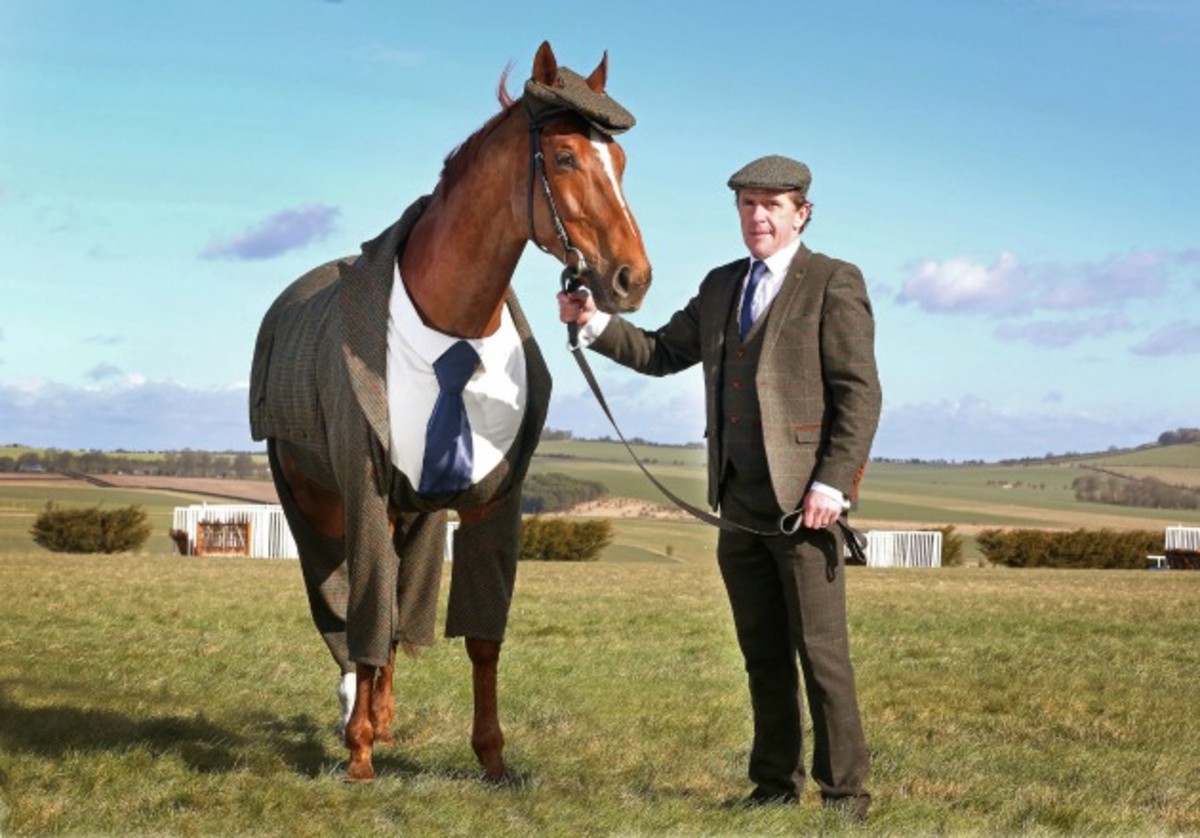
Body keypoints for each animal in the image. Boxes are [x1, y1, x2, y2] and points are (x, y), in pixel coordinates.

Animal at [248, 41, 651, 783]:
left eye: (620, 160)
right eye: (564, 157)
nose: (631, 279)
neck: (453, 323)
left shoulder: (491, 502)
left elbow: (480, 637)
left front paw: (491, 756)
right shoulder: (367, 490)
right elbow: (367, 613)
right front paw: (359, 751)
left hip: (420, 513)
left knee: (399, 608)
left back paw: (381, 713)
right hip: (316, 500)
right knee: (349, 610)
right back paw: (356, 715)